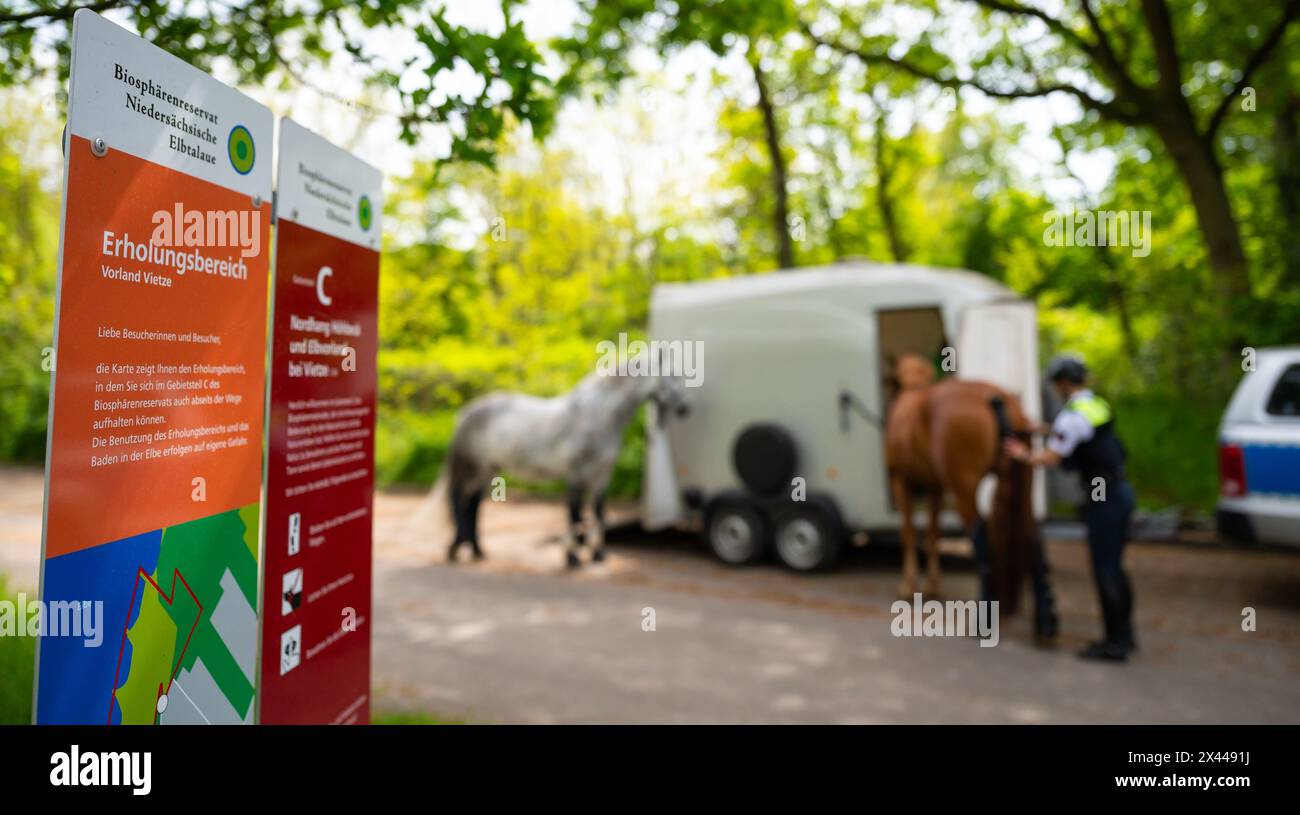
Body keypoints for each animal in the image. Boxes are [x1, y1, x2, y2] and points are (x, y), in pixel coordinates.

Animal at [444, 353, 691, 571]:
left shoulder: (602, 475)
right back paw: (454, 549)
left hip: (487, 470)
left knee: (473, 505)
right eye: (671, 376)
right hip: (473, 469)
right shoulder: (575, 475)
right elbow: (575, 515)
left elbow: (598, 514)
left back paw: (477, 550)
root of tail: (465, 413)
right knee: (459, 500)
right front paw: (572, 558)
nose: (685, 408)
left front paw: (598, 555)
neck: (598, 417)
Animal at [883, 356, 1055, 631]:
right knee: (1032, 537)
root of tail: (1000, 398)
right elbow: (932, 534)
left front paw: (909, 586)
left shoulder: (901, 481)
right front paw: (932, 584)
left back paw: (984, 618)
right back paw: (1045, 621)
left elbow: (908, 533)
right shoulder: (935, 487)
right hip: (1021, 483)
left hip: (963, 489)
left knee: (982, 539)